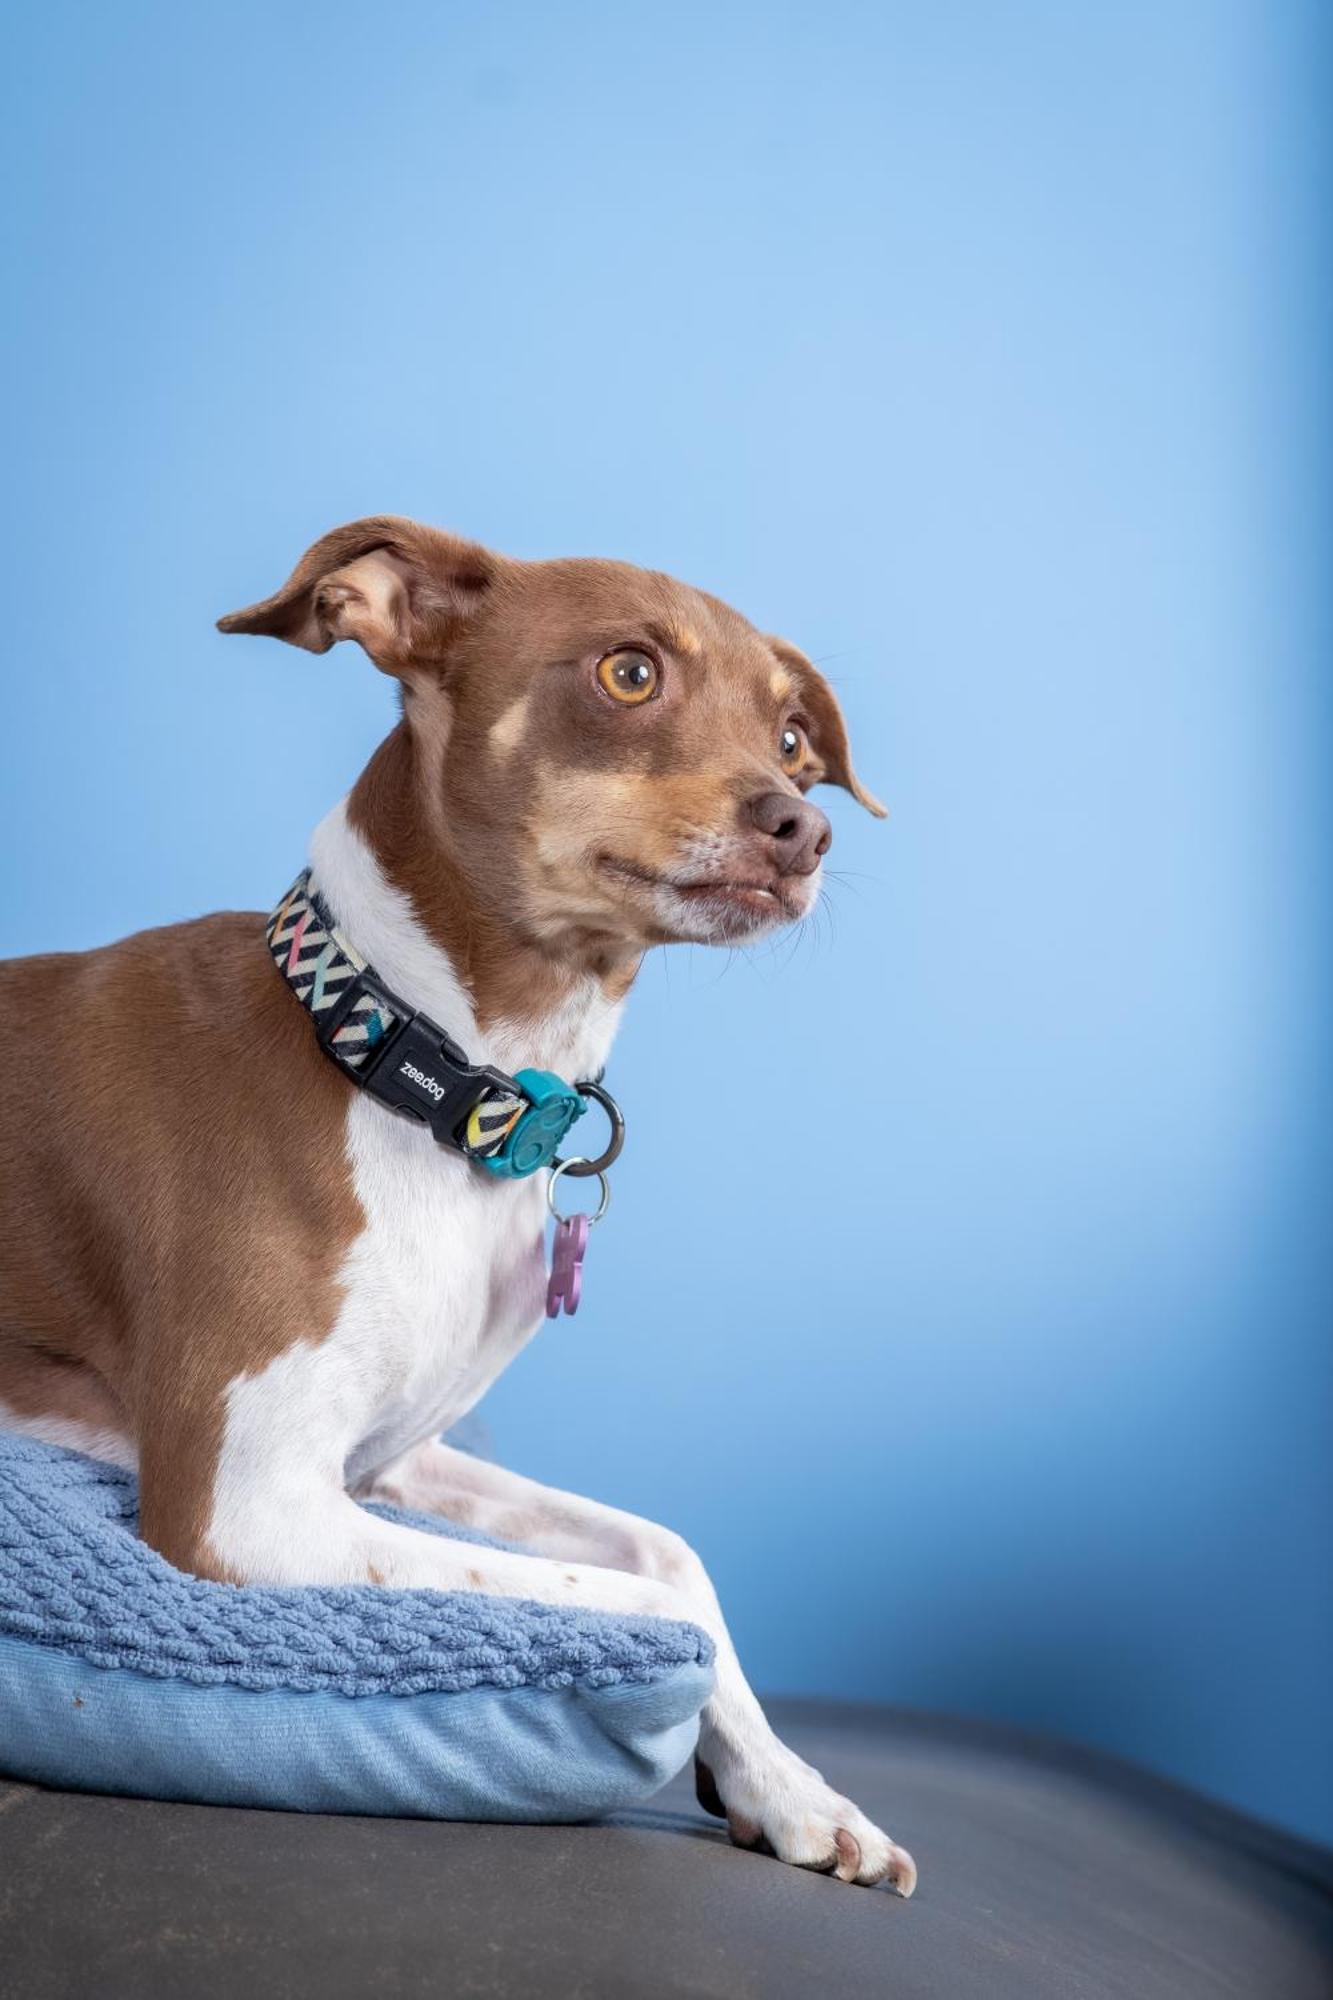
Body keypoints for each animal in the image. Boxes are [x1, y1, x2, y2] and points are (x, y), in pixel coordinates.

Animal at [0, 516, 912, 1888]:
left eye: (796, 734)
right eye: (629, 673)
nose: (802, 826)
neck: (409, 1066)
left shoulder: (395, 1457)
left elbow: (671, 1555)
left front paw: (792, 1786)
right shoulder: (245, 1507)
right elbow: (642, 1605)